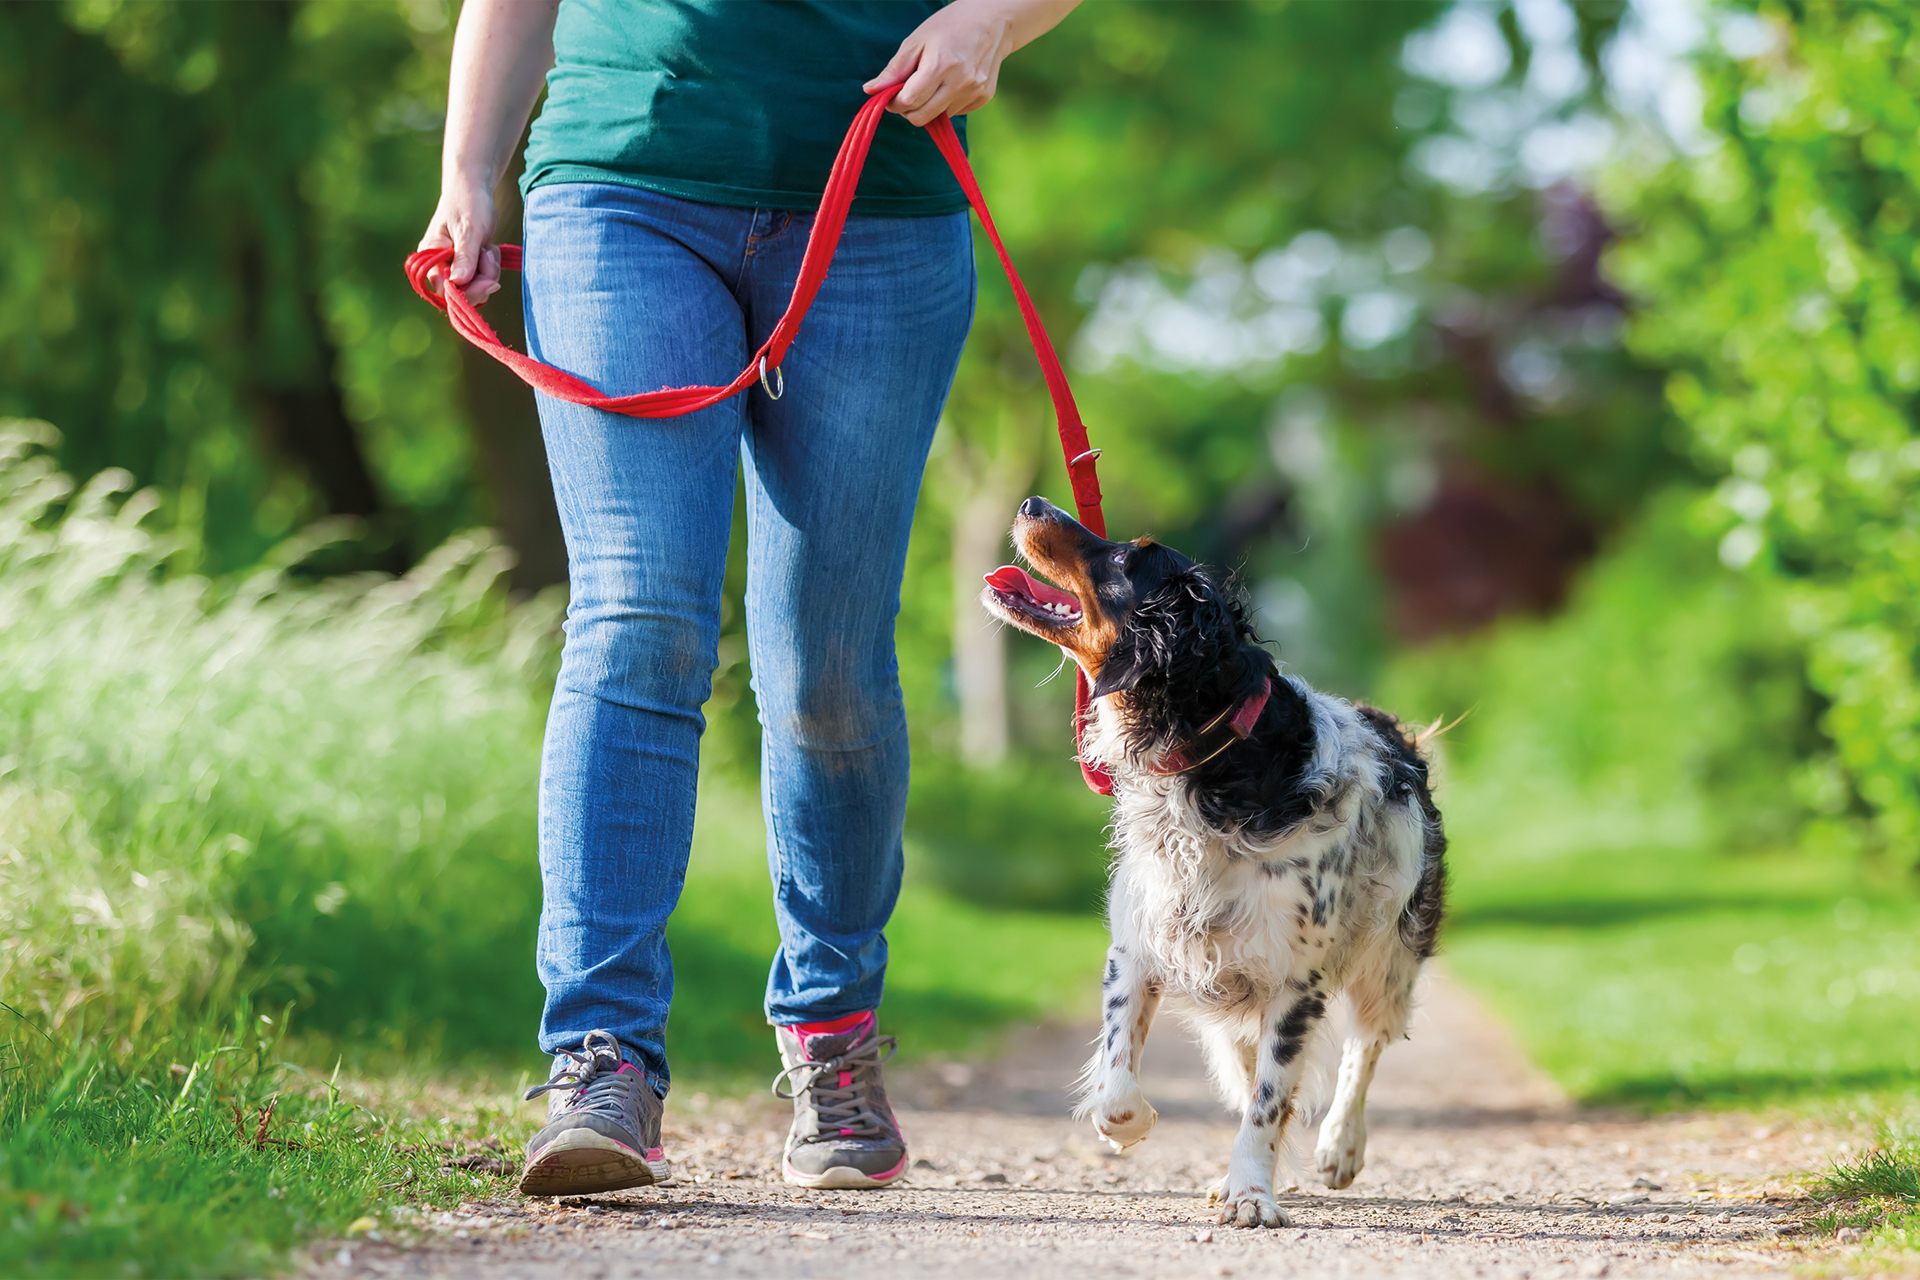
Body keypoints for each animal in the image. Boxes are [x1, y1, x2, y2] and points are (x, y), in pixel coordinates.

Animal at [983, 495, 1443, 1228]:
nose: (1031, 502)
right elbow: (1119, 1077)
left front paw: (1252, 1192)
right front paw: (1134, 1125)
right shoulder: (1139, 945)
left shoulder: (1297, 983)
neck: (1210, 763)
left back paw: (1340, 1146)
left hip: (1390, 957)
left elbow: (1270, 1103)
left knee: (1363, 1049)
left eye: (1125, 558)